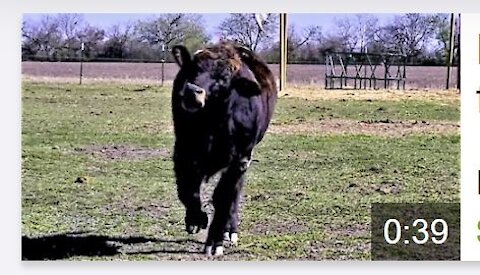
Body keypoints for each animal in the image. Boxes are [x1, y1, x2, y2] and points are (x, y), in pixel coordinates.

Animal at [172, 41, 278, 256]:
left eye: (224, 78)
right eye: (193, 68)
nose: (191, 91)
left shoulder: (239, 159)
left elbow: (223, 197)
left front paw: (215, 242)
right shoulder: (183, 152)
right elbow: (187, 189)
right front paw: (196, 219)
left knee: (235, 191)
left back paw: (230, 230)